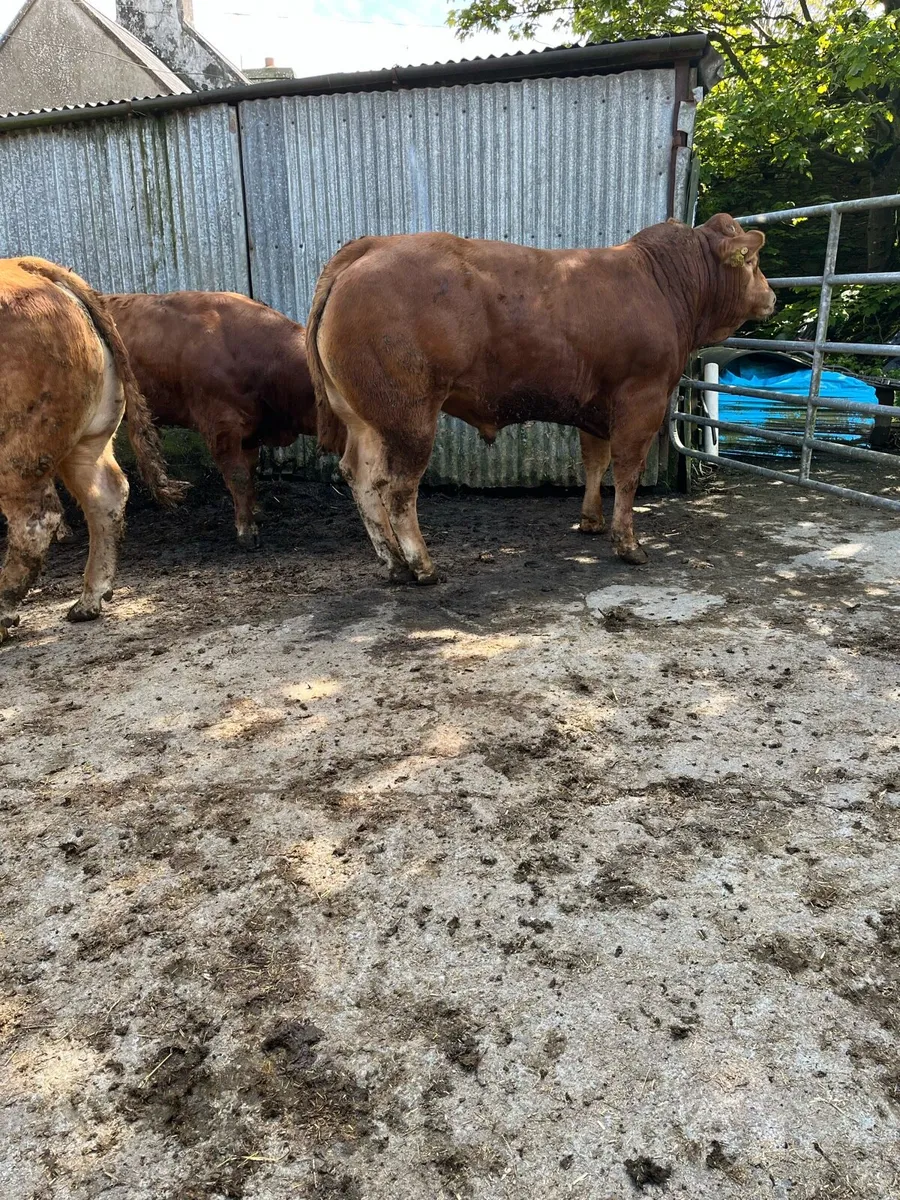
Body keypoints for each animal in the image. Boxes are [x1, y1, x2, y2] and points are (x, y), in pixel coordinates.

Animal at [0, 257, 187, 644]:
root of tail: (28, 266)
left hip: (17, 453)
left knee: (35, 521)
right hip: (87, 440)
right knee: (107, 494)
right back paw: (90, 600)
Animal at [104, 291, 319, 549]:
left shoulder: (249, 431)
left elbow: (250, 472)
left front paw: (255, 512)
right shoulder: (220, 427)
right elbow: (238, 476)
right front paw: (247, 531)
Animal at [306, 214, 775, 584]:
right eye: (752, 262)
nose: (772, 296)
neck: (664, 283)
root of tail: (373, 245)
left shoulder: (596, 406)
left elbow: (595, 462)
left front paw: (590, 521)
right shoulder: (642, 397)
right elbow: (627, 471)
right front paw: (627, 543)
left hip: (364, 419)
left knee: (361, 477)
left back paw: (393, 564)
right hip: (409, 417)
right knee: (398, 486)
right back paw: (422, 566)